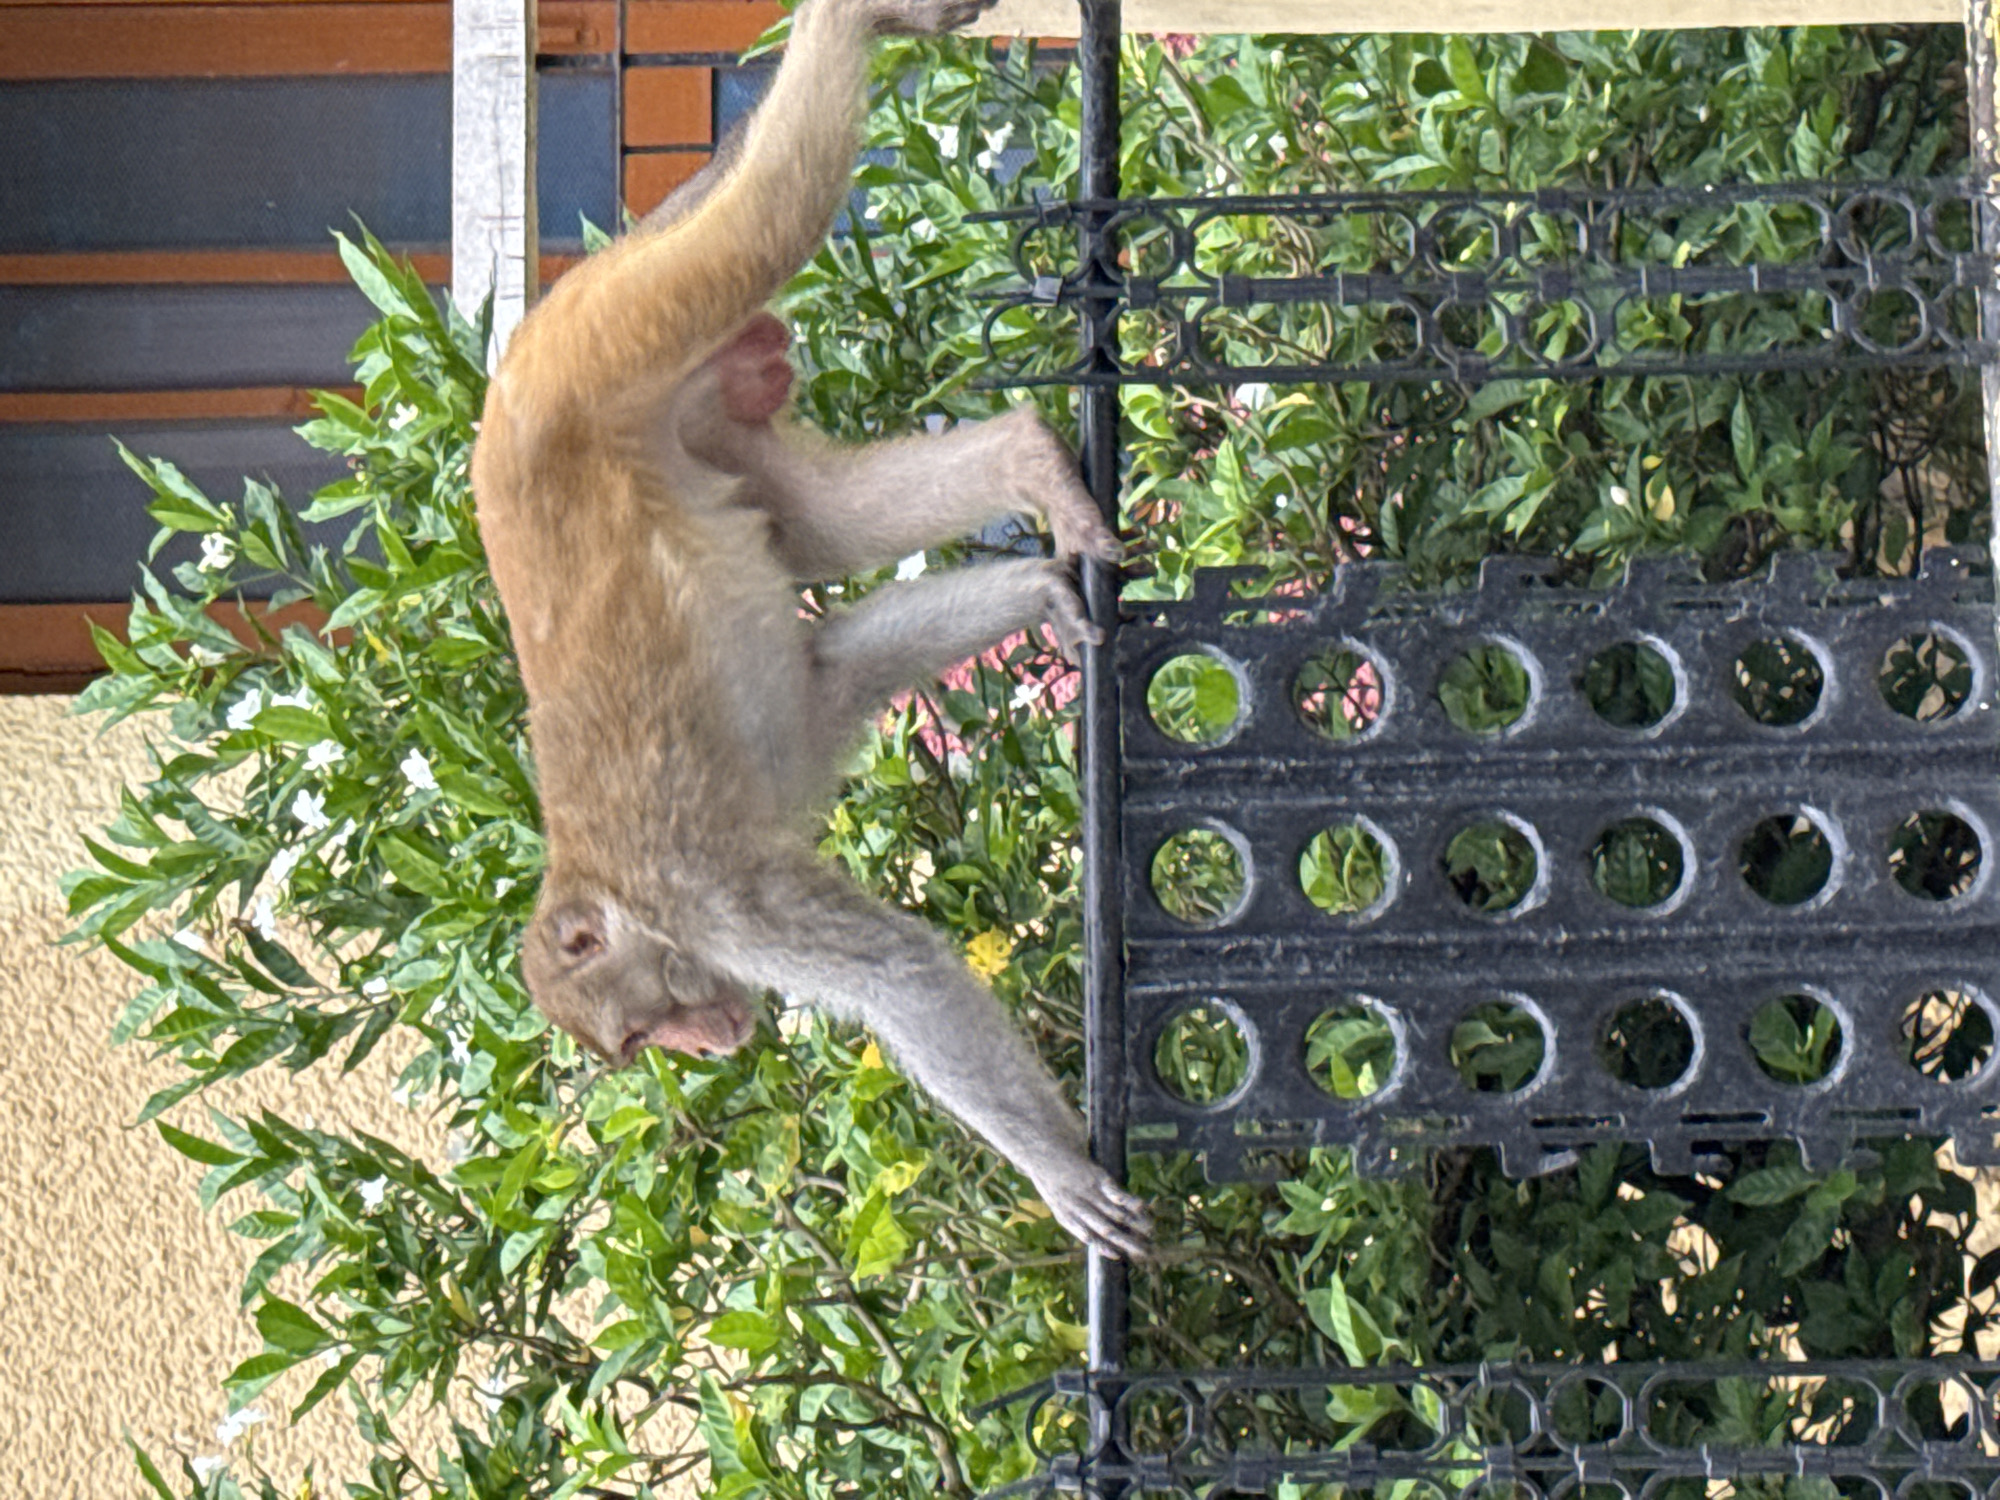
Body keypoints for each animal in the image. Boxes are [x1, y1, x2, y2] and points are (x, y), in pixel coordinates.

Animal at [468, 0, 1152, 1260]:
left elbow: (898, 974)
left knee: (770, 214)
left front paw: (1053, 1176)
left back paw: (848, 23)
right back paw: (1023, 460)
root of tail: (519, 353)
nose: (711, 1045)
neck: (611, 888)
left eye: (636, 1035)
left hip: (608, 345)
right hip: (686, 402)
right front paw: (1039, 597)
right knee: (817, 525)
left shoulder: (713, 900)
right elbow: (828, 671)